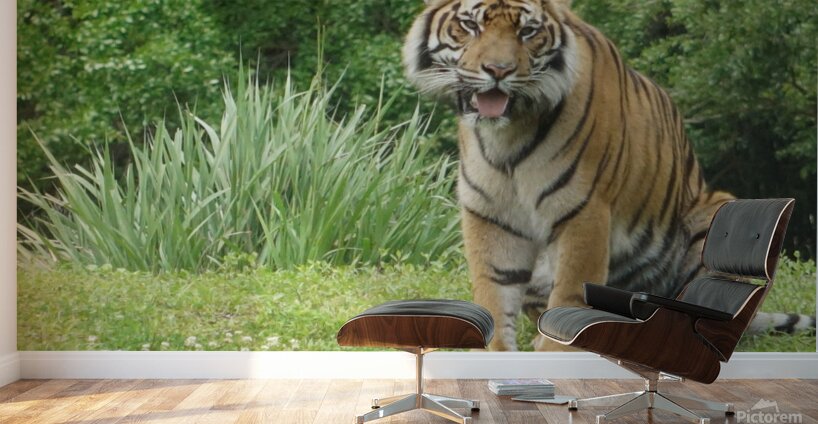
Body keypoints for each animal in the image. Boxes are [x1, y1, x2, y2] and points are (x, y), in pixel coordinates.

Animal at [402, 0, 815, 351]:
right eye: (470, 25)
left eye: (527, 32)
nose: (498, 72)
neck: (508, 134)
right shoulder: (490, 215)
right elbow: (494, 296)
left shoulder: (583, 211)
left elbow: (568, 296)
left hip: (713, 213)